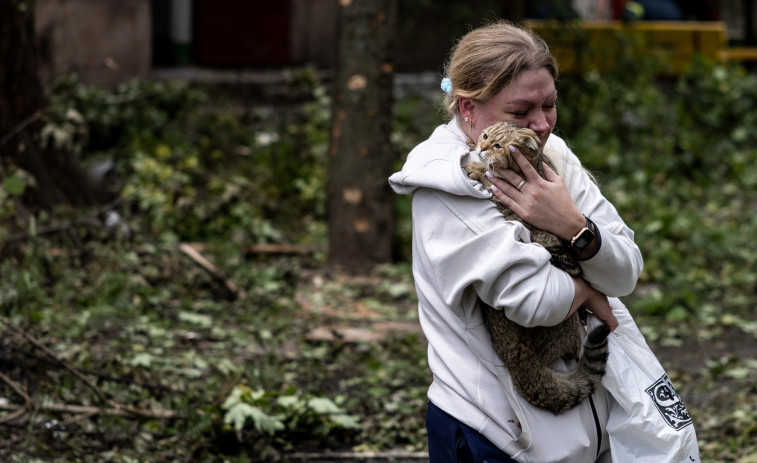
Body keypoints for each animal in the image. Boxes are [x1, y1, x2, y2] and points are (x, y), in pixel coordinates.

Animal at [464, 121, 612, 416]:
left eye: (498, 145)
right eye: (485, 136)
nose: (481, 146)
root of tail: (518, 363)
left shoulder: (511, 201)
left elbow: (492, 180)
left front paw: (479, 168)